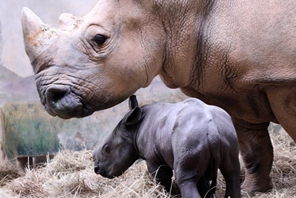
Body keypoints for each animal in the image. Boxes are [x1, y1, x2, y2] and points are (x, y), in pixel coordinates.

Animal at [93, 95, 242, 197]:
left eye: (107, 149)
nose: (97, 169)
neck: (134, 129)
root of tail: (212, 129)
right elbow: (203, 184)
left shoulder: (153, 158)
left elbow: (162, 179)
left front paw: (171, 195)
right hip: (226, 132)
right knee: (232, 173)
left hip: (188, 138)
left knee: (185, 180)